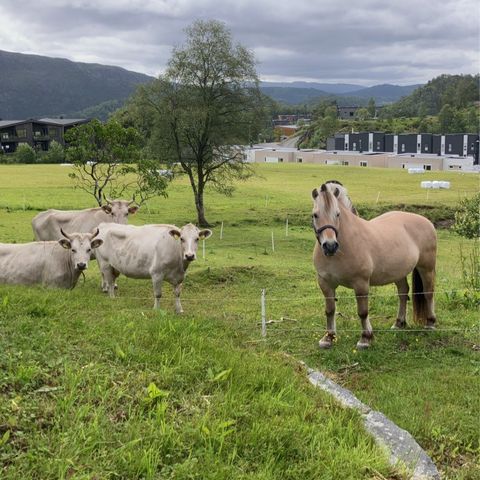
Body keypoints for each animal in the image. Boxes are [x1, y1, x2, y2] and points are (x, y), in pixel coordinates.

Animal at [314, 184, 436, 348]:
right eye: (315, 215)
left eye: (337, 214)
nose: (330, 246)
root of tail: (427, 221)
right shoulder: (325, 284)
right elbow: (330, 310)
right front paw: (328, 337)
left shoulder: (361, 284)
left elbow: (363, 312)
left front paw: (365, 338)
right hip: (399, 273)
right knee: (403, 293)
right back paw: (399, 323)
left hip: (426, 268)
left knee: (428, 293)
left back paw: (430, 323)